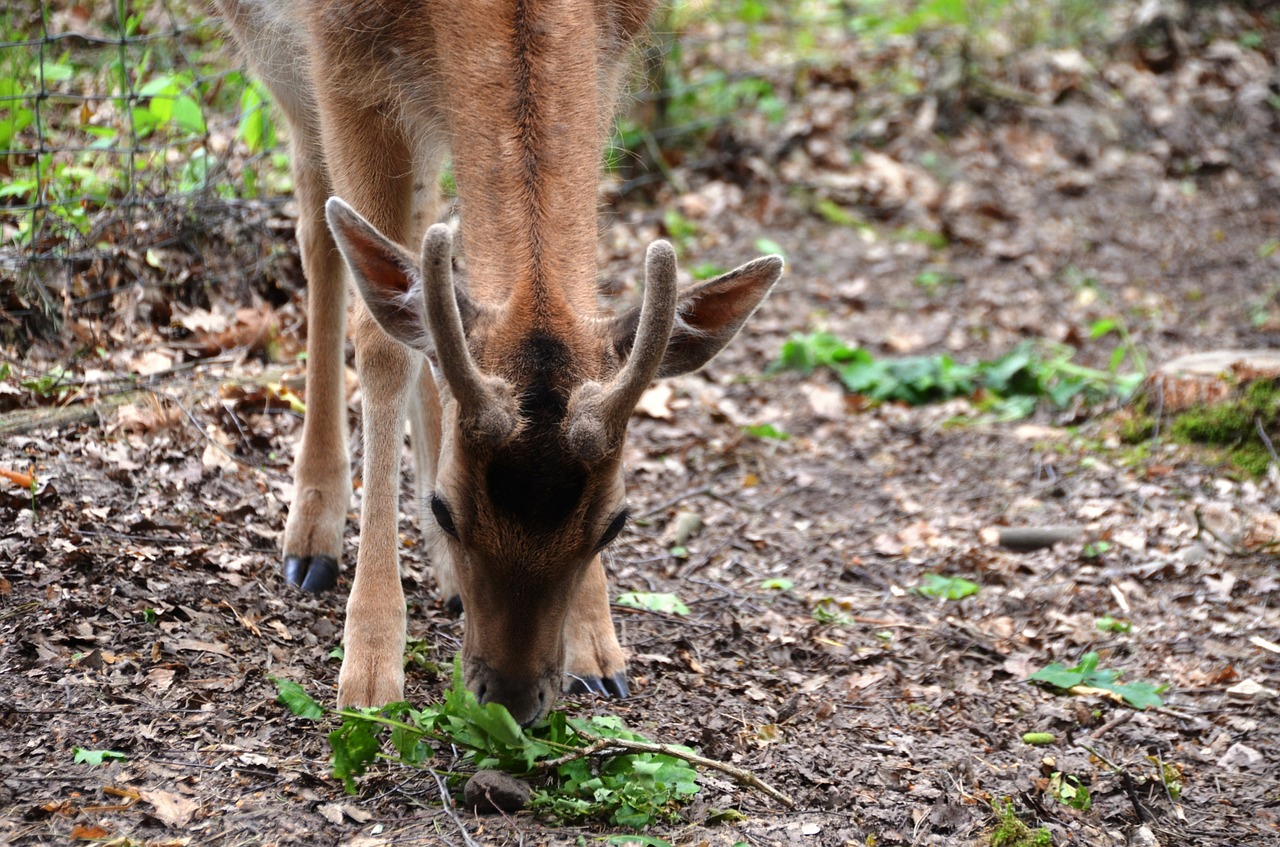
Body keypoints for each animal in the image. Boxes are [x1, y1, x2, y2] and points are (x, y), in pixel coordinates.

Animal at [215, 0, 783, 731]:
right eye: (447, 508)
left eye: (616, 522)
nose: (512, 698)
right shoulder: (339, 58)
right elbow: (381, 343)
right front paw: (369, 671)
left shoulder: (612, 49)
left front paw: (598, 647)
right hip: (270, 47)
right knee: (319, 226)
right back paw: (312, 534)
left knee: (421, 245)